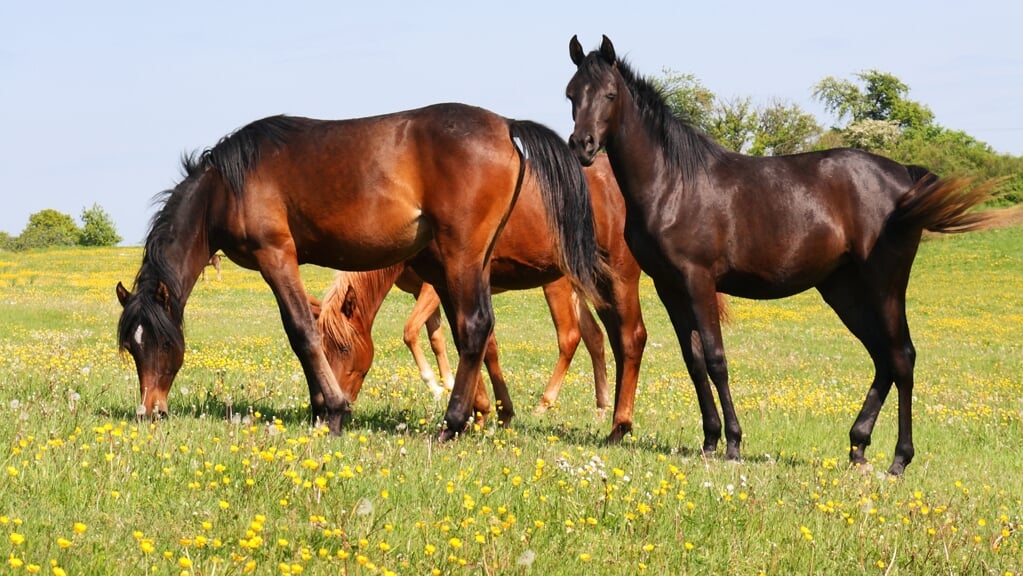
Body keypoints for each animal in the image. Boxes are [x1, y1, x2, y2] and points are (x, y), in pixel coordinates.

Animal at [114, 103, 605, 439]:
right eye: (133, 348)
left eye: (162, 343)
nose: (149, 410)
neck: (226, 186)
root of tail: (505, 124)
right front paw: (320, 407)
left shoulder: (277, 256)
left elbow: (301, 331)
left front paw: (332, 411)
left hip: (463, 258)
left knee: (476, 327)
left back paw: (451, 423)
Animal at [310, 155, 646, 429]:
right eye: (322, 348)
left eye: (343, 348)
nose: (333, 408)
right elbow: (469, 344)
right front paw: (493, 409)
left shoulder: (435, 289)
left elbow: (418, 333)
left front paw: (446, 390)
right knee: (597, 337)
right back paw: (602, 408)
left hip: (566, 285)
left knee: (575, 337)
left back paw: (548, 404)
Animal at [564, 37, 994, 478]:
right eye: (572, 94)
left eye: (610, 94)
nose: (582, 145)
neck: (673, 183)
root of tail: (904, 177)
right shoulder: (670, 287)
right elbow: (694, 360)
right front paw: (710, 440)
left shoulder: (698, 280)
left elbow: (716, 359)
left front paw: (733, 443)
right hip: (843, 290)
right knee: (883, 358)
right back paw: (858, 446)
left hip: (884, 284)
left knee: (902, 357)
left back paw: (899, 459)